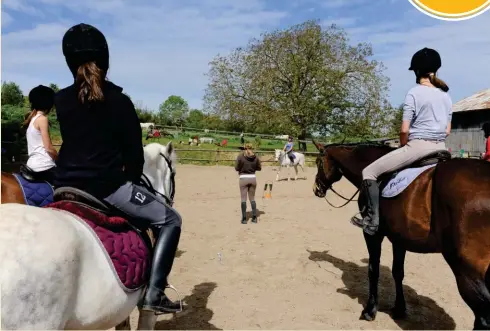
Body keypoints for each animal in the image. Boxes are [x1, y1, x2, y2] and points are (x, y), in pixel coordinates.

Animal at [312, 141, 490, 330]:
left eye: (318, 162)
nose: (316, 189)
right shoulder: (400, 239)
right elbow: (398, 272)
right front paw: (399, 309)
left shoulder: (373, 234)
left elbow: (373, 270)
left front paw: (370, 311)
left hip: (466, 269)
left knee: (483, 316)